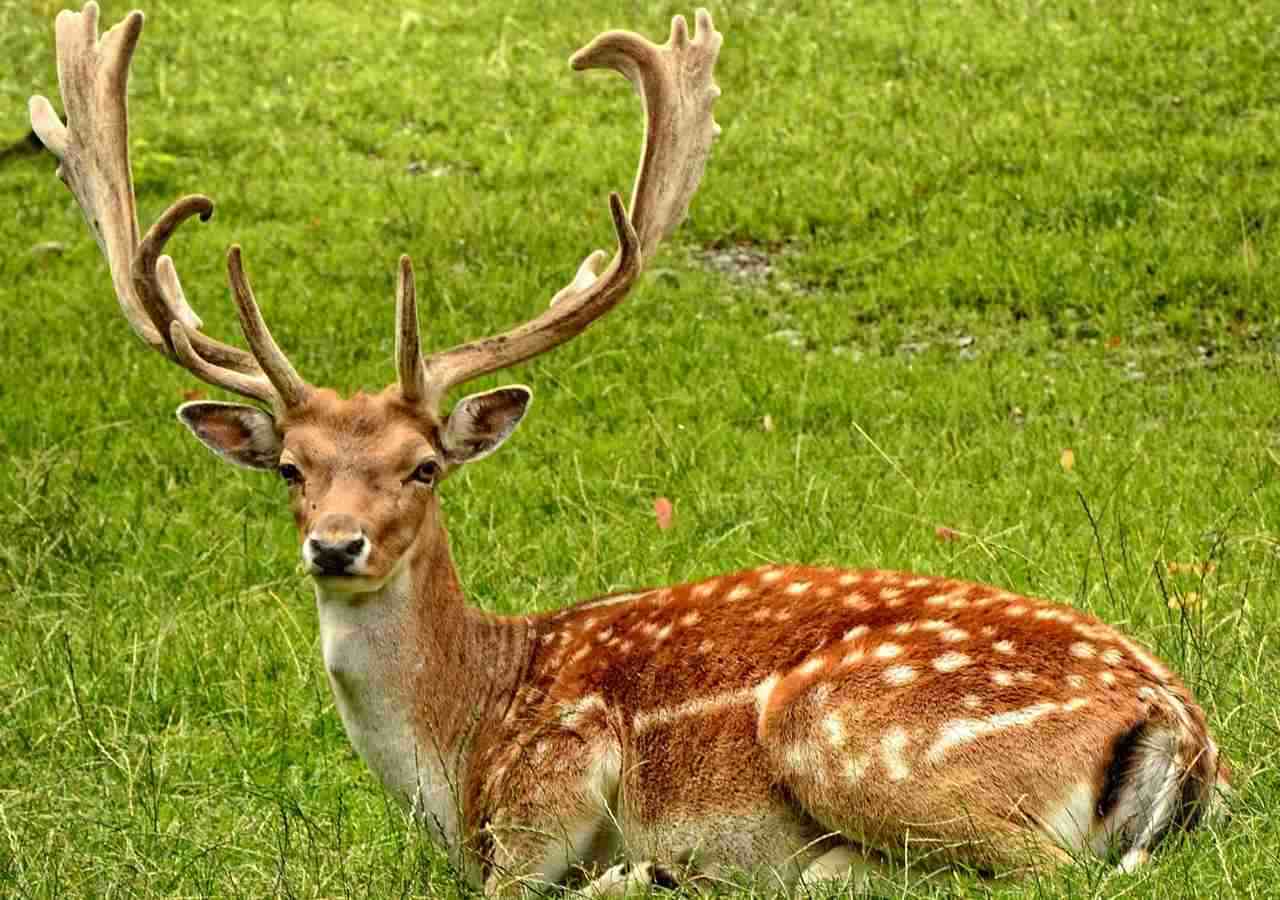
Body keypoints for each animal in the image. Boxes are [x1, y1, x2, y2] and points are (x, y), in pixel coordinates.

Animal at [32, 3, 1228, 896]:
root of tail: (1182, 727)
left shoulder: (549, 788)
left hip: (847, 730)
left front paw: (637, 869)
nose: (336, 545)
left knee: (1032, 870)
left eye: (424, 466)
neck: (462, 742)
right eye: (292, 467)